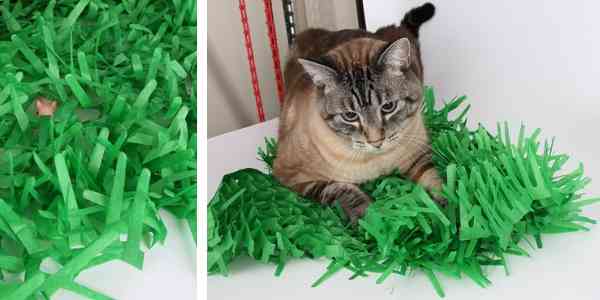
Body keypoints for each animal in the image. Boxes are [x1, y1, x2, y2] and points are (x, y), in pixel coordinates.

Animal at [272, 2, 440, 223]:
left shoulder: (418, 156)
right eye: (350, 116)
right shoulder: (292, 175)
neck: (376, 161)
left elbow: (437, 184)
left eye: (388, 107)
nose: (376, 142)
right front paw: (371, 221)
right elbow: (342, 190)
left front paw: (449, 215)